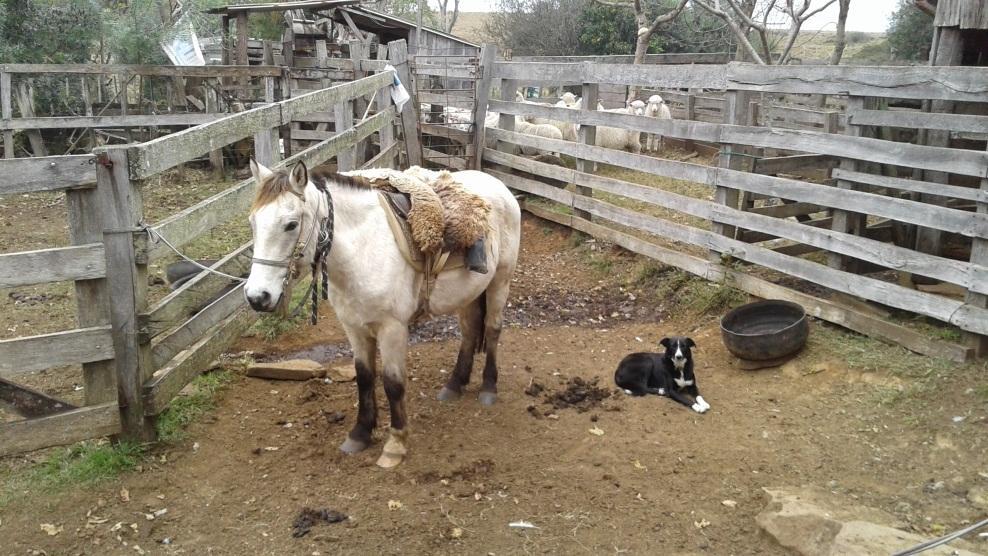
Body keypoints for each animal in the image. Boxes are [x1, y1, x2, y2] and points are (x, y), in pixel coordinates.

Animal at [242, 162, 520, 470]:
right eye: (253, 222)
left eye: (290, 224)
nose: (257, 297)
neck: (364, 250)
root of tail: (498, 184)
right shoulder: (354, 328)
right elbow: (364, 377)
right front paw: (360, 434)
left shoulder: (392, 329)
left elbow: (393, 383)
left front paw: (395, 444)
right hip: (469, 293)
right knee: (470, 332)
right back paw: (454, 385)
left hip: (500, 283)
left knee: (492, 330)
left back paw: (488, 388)